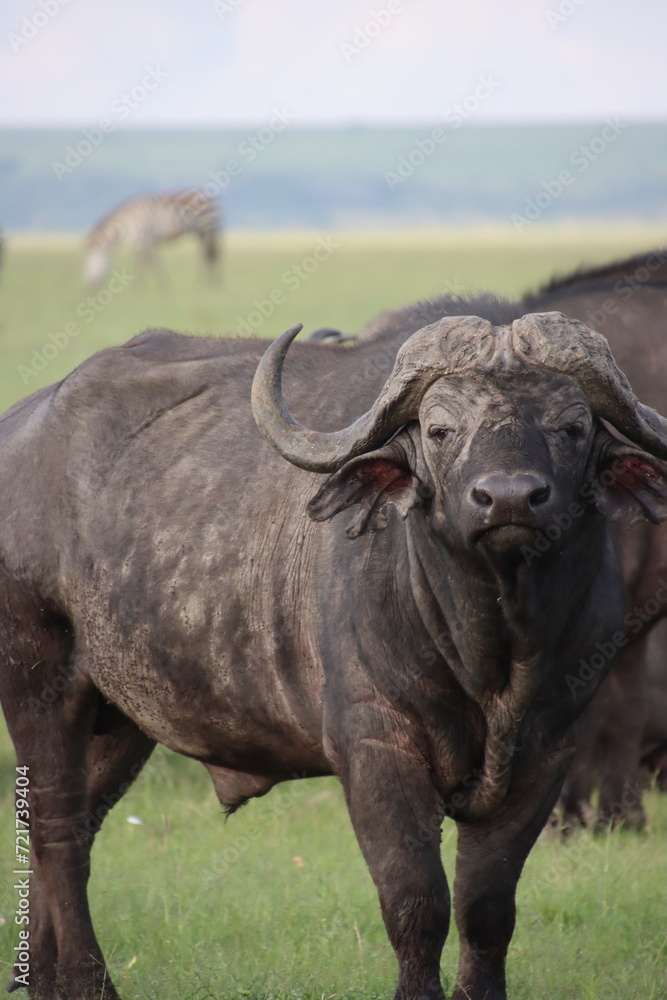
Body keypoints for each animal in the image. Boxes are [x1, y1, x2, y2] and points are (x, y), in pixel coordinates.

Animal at [2, 305, 667, 1000]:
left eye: (573, 426)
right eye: (439, 429)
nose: (509, 498)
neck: (489, 649)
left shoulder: (546, 753)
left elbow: (486, 907)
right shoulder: (375, 748)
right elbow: (416, 899)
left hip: (121, 721)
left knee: (75, 826)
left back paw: (41, 976)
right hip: (38, 684)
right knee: (55, 834)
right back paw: (87, 982)